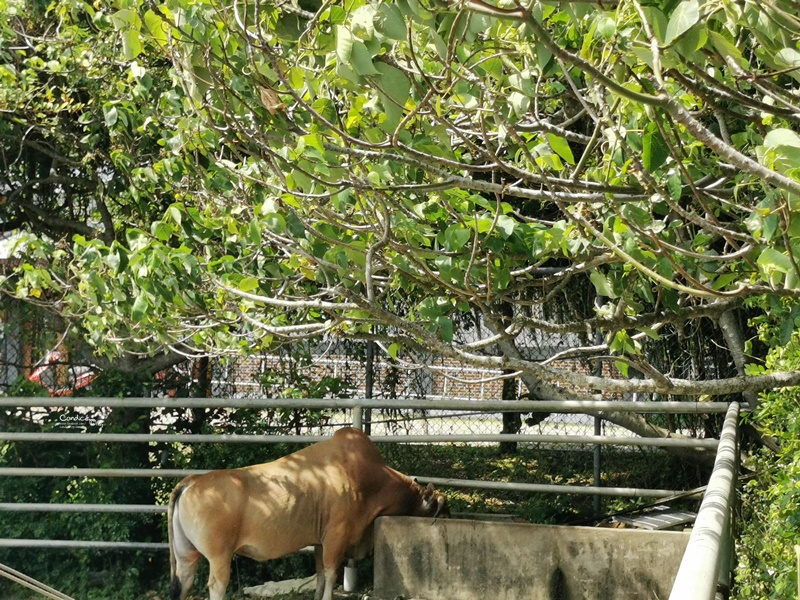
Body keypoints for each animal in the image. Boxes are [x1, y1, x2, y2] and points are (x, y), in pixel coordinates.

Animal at [167, 426, 450, 600]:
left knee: (184, 582)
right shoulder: (336, 537)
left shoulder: (318, 542)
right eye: (442, 511)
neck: (370, 479)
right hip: (219, 557)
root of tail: (191, 481)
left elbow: (321, 575)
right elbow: (331, 573)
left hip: (186, 556)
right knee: (217, 586)